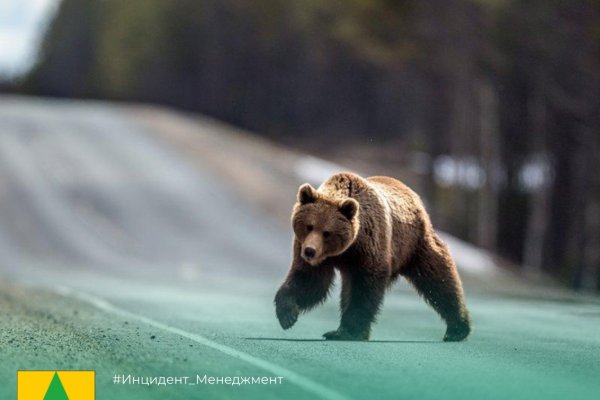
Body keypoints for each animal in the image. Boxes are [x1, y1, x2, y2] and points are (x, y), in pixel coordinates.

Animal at [274, 172, 472, 340]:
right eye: (309, 226)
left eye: (327, 233)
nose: (309, 251)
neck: (346, 249)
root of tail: (413, 195)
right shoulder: (315, 253)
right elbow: (310, 280)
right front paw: (287, 314)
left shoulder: (369, 245)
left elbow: (365, 286)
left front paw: (349, 330)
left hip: (415, 243)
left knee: (438, 278)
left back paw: (457, 328)